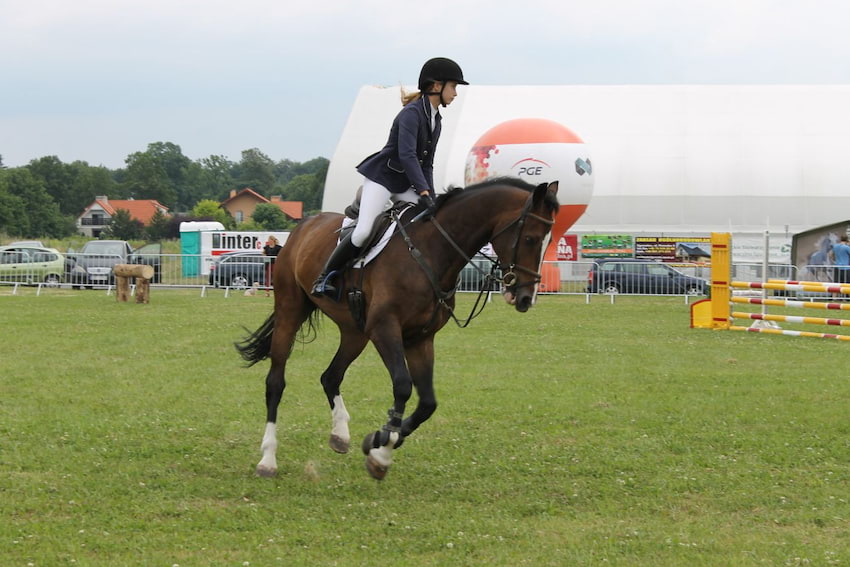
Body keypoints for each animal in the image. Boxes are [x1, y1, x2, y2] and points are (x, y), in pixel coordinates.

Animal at [235, 176, 560, 480]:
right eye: (531, 239)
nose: (525, 298)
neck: (432, 251)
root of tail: (304, 226)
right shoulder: (385, 328)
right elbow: (403, 385)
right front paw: (382, 449)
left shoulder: (420, 339)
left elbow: (427, 402)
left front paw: (380, 442)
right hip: (291, 310)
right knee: (275, 383)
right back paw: (268, 459)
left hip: (355, 331)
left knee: (331, 376)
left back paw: (340, 435)